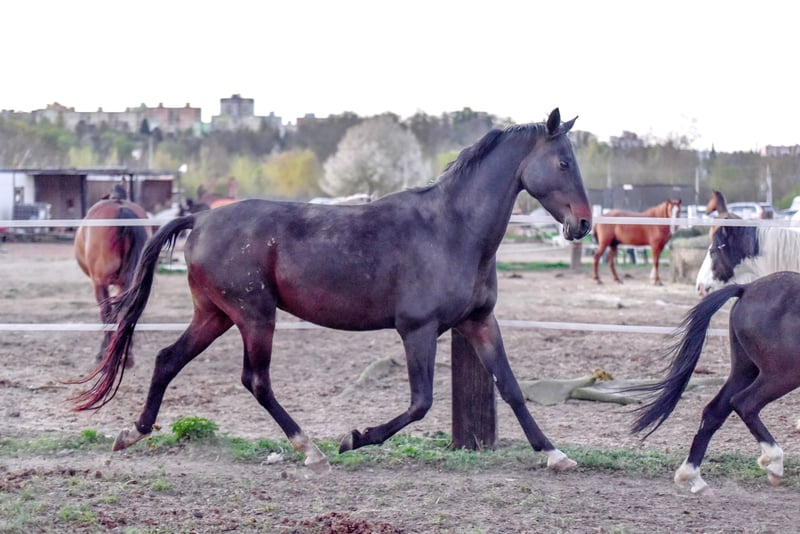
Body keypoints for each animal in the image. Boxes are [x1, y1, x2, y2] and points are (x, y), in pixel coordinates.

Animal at [631, 271, 800, 494]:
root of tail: (747, 288)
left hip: (746, 370)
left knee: (715, 410)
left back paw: (693, 476)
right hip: (783, 374)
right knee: (744, 403)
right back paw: (774, 463)